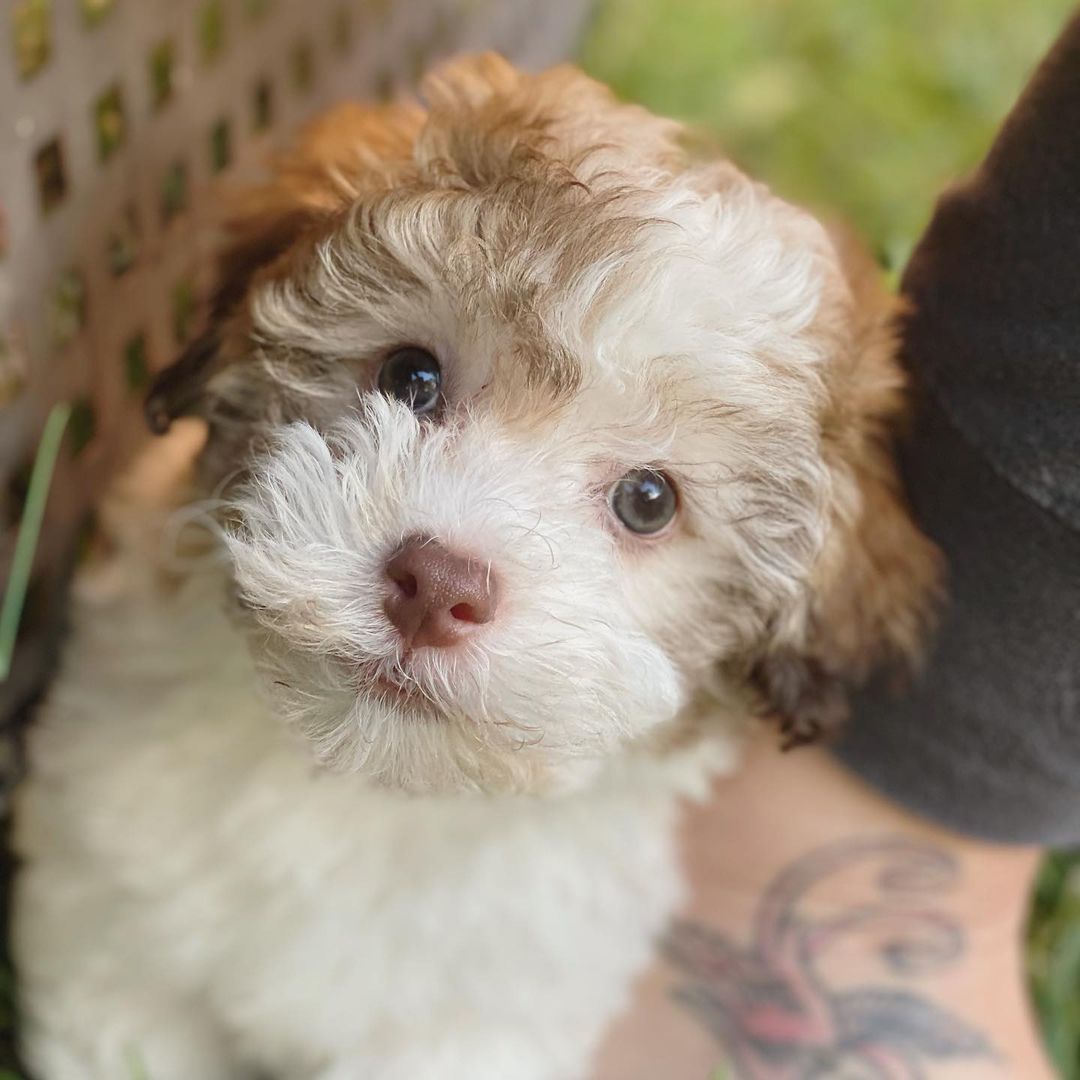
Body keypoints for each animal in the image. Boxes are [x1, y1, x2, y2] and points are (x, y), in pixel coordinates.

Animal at [10, 56, 937, 1080]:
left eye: (649, 501)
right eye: (410, 377)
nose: (439, 587)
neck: (367, 786)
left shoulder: (484, 1025)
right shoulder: (110, 919)